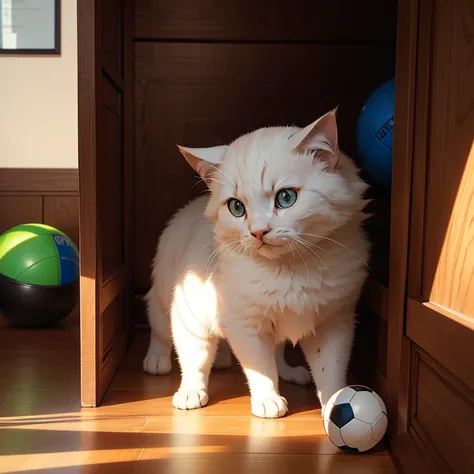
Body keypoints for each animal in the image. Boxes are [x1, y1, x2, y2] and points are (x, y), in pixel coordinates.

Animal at [144, 110, 370, 418]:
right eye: (236, 207)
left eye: (286, 198)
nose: (258, 231)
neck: (291, 270)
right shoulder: (244, 325)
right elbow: (257, 367)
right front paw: (268, 400)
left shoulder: (335, 321)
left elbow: (329, 371)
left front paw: (335, 405)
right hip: (173, 305)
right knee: (175, 342)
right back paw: (169, 372)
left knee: (274, 353)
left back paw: (286, 372)